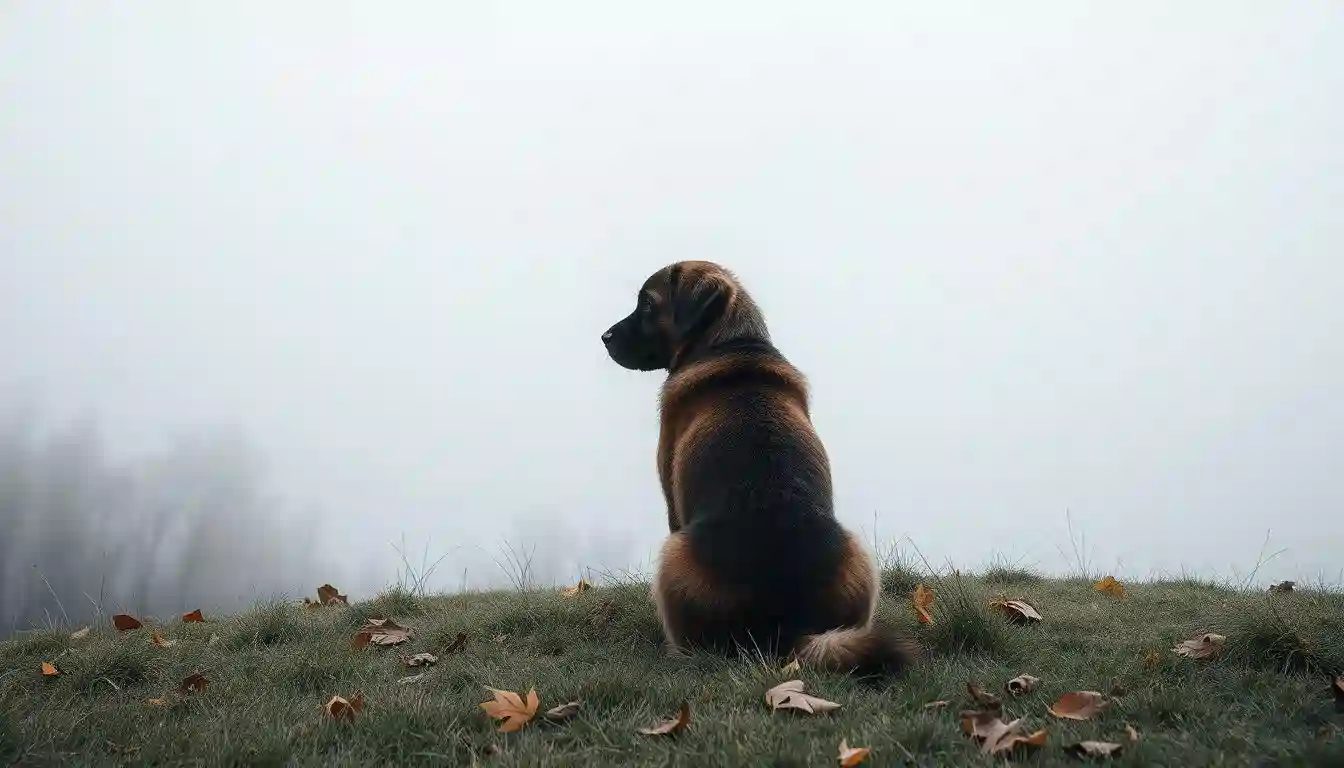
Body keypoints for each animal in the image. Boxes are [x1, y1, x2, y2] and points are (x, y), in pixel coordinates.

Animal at [604, 260, 919, 675]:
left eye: (647, 305)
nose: (604, 337)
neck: (732, 345)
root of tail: (784, 629)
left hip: (672, 554)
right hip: (860, 556)